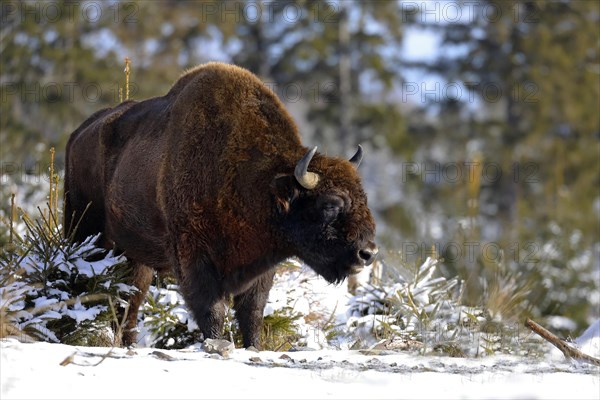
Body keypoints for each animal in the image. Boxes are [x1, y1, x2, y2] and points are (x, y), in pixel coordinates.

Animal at [64, 61, 376, 346]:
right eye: (330, 205)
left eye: (364, 198)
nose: (368, 253)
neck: (259, 182)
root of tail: (78, 134)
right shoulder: (195, 258)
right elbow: (212, 311)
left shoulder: (261, 268)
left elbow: (252, 313)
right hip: (84, 232)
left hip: (135, 255)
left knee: (130, 301)